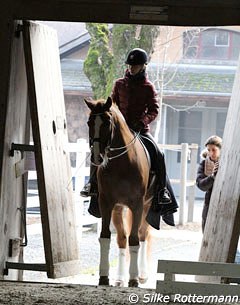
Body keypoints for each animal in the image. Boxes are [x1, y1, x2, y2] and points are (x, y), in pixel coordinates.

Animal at [85, 96, 156, 286]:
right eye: (89, 122)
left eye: (107, 123)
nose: (97, 157)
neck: (122, 164)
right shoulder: (106, 203)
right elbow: (105, 236)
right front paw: (104, 277)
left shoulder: (137, 205)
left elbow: (135, 239)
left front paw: (134, 279)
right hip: (118, 209)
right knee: (122, 239)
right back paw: (119, 278)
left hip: (147, 206)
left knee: (142, 234)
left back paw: (142, 274)